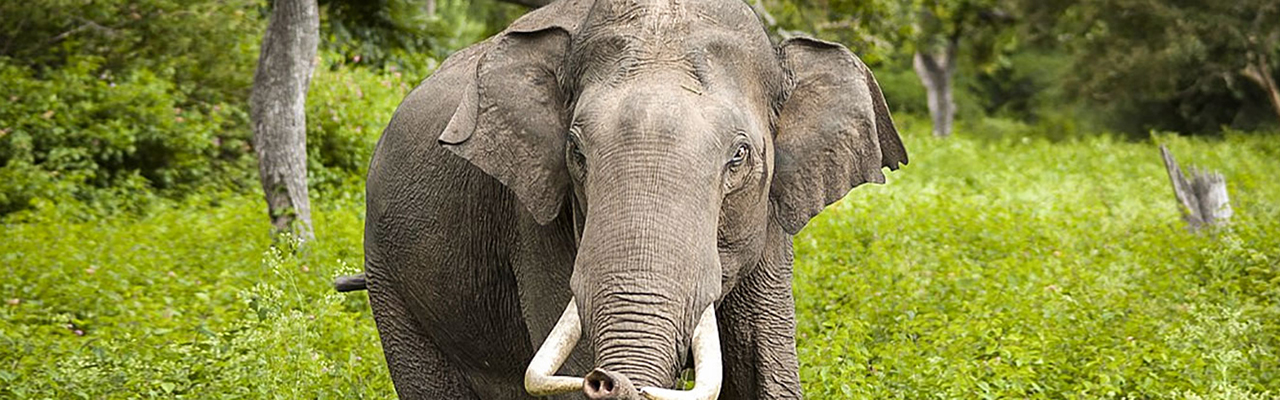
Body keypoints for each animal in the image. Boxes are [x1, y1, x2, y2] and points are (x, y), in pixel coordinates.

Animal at [358, 0, 907, 398]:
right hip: (388, 276)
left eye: (739, 156)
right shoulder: (535, 221)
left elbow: (763, 362)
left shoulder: (770, 218)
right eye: (575, 151)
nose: (607, 381)